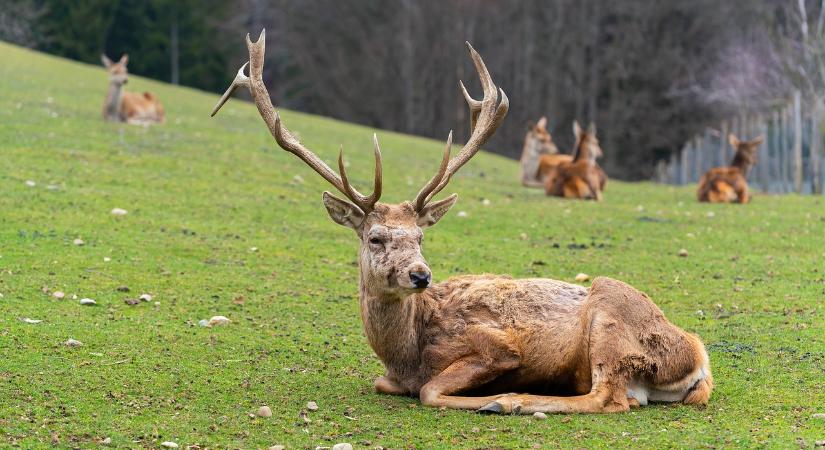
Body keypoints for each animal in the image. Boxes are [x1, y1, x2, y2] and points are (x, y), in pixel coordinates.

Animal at [211, 29, 708, 414]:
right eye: (376, 238)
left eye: (420, 236)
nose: (420, 275)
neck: (407, 352)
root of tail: (699, 358)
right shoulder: (392, 374)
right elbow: (384, 382)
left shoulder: (497, 346)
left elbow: (430, 390)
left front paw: (492, 396)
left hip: (610, 317)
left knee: (608, 398)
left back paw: (511, 401)